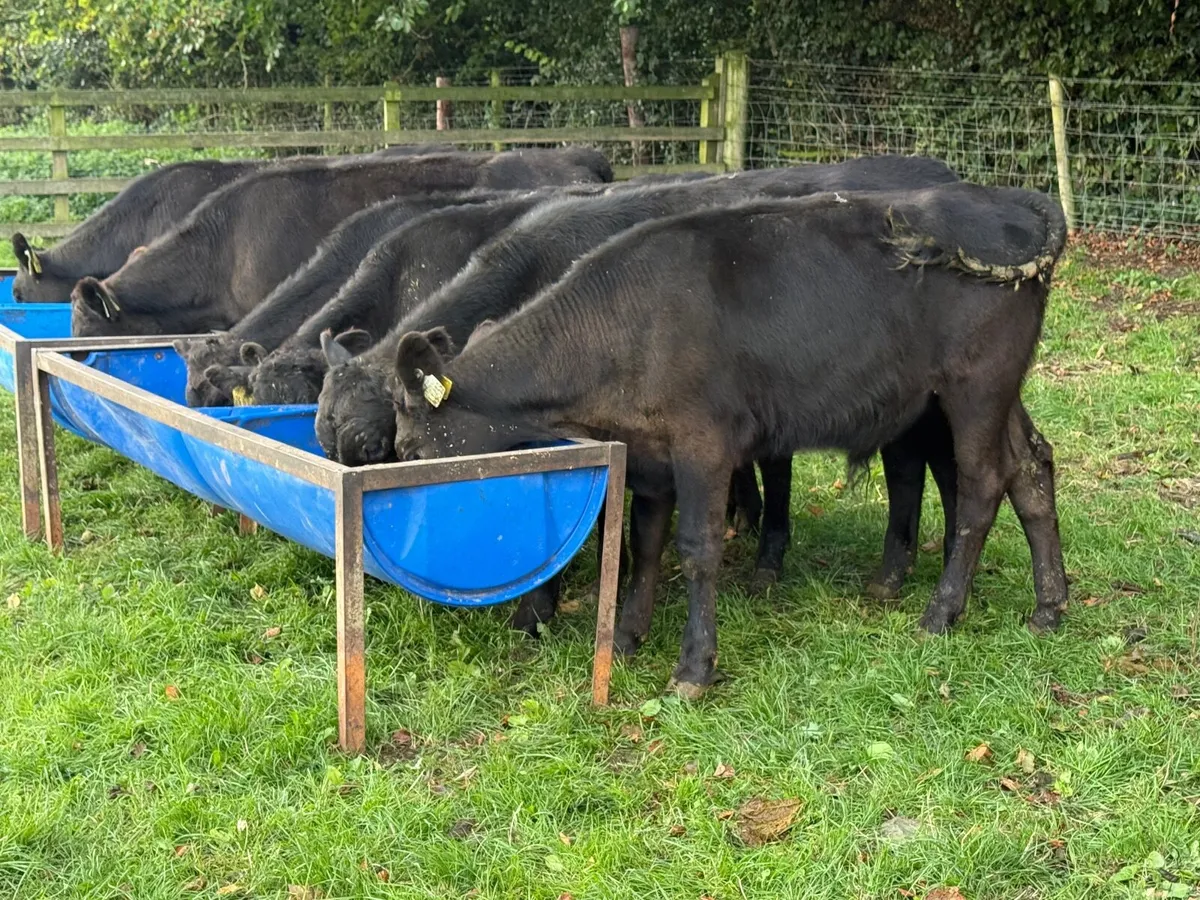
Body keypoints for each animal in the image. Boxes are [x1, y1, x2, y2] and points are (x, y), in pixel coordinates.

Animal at [391, 182, 1070, 698]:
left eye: (411, 451)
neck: (626, 327)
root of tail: (1008, 198)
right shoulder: (649, 456)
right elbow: (645, 545)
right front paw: (629, 636)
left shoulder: (704, 444)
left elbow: (697, 549)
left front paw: (693, 668)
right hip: (989, 391)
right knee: (1031, 465)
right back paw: (1048, 607)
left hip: (976, 384)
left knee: (982, 482)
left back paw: (942, 612)